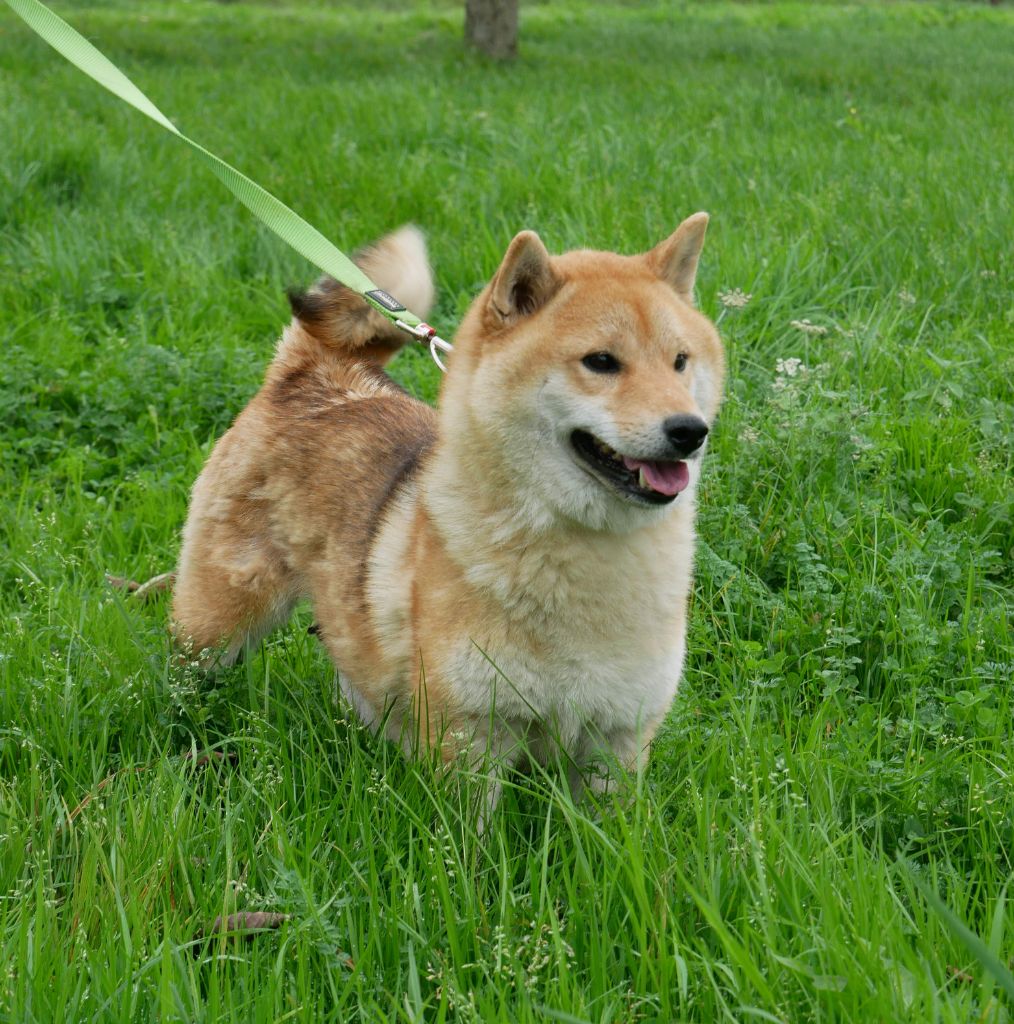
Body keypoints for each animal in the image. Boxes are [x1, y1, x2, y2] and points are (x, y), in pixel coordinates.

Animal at [176, 216, 729, 802]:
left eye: (679, 361)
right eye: (601, 362)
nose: (690, 430)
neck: (583, 560)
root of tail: (318, 371)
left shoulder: (617, 741)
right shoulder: (468, 740)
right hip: (214, 627)